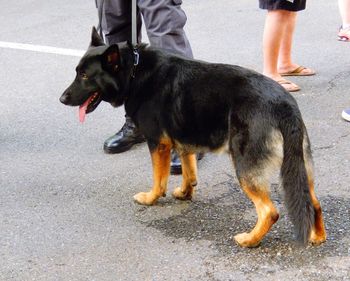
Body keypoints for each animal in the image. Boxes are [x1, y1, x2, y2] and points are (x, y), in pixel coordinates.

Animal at [59, 27, 326, 247]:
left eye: (85, 76)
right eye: (77, 72)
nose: (62, 99)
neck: (134, 71)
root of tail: (284, 104)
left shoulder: (158, 144)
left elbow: (159, 180)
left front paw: (151, 198)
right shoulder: (183, 141)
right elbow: (189, 171)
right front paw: (185, 193)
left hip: (245, 168)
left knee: (270, 212)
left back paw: (250, 240)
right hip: (301, 168)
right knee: (313, 202)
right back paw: (318, 237)